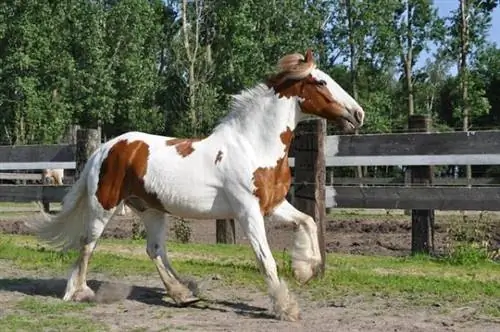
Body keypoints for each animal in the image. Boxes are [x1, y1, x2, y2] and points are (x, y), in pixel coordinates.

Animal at [26, 48, 364, 320]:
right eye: (320, 82)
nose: (358, 114)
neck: (253, 146)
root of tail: (105, 148)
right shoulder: (247, 211)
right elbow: (265, 259)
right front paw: (286, 307)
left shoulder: (273, 205)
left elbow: (308, 221)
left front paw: (306, 269)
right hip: (104, 206)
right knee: (88, 244)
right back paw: (79, 292)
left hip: (151, 209)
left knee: (154, 249)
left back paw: (183, 292)